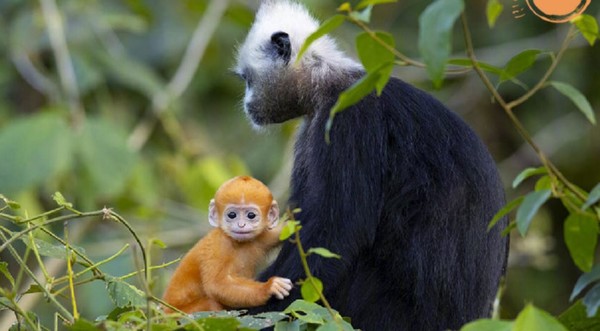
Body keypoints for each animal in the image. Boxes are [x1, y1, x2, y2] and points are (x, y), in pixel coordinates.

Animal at [162, 176, 292, 314]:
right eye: (232, 215)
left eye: (251, 215)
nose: (241, 225)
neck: (238, 244)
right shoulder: (218, 245)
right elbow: (216, 285)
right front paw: (269, 287)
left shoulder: (261, 238)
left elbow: (279, 233)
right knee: (211, 304)